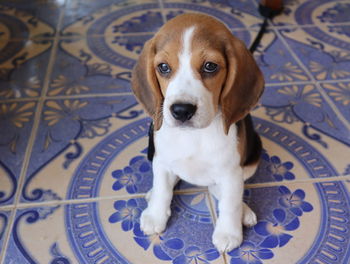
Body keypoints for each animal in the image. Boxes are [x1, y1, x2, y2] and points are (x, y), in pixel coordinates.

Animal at [133, 13, 264, 253]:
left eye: (210, 66)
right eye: (163, 67)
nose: (181, 110)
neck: (193, 136)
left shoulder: (231, 172)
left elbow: (230, 202)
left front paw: (228, 233)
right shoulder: (161, 160)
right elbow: (163, 188)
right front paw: (156, 215)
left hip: (253, 157)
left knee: (220, 190)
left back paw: (244, 211)